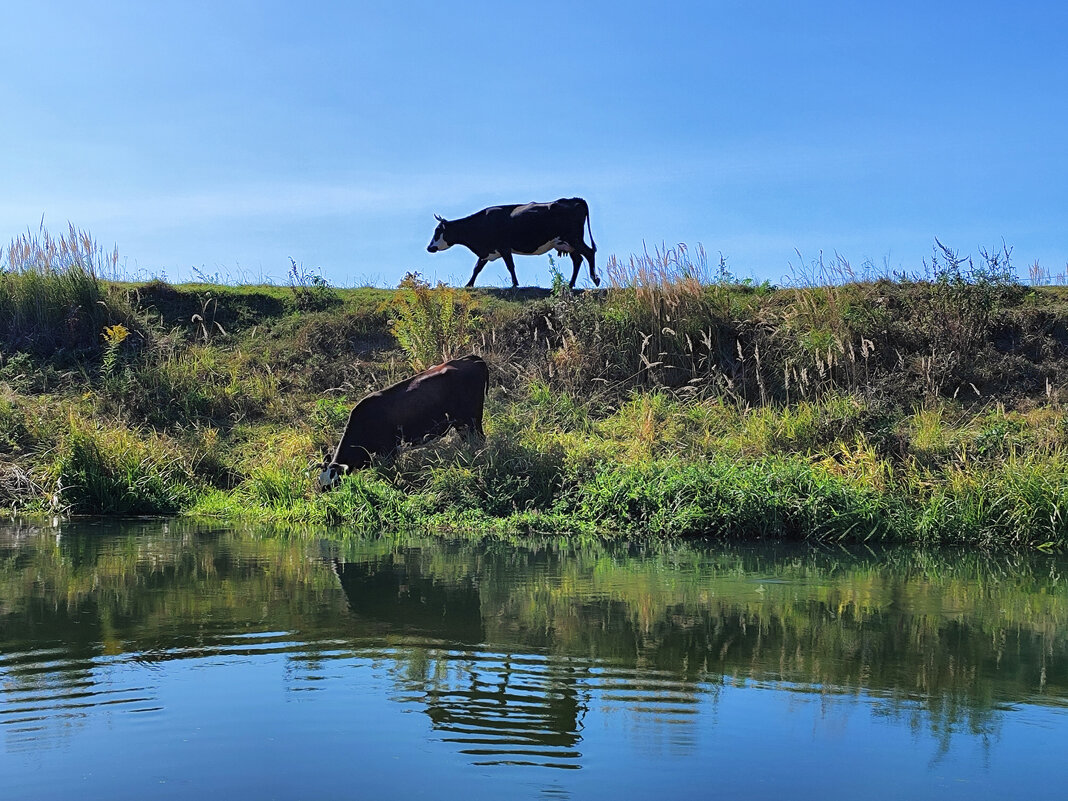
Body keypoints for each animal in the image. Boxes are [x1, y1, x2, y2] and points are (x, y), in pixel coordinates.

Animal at [313, 356, 487, 489]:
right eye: (321, 482)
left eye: (334, 482)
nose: (325, 494)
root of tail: (471, 358)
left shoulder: (389, 451)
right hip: (463, 423)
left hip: (471, 418)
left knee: (478, 440)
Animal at [425, 197, 598, 288]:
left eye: (437, 231)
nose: (429, 247)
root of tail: (574, 199)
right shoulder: (487, 251)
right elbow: (477, 268)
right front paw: (469, 284)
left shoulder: (504, 247)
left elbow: (510, 266)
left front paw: (515, 284)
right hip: (567, 243)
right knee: (578, 260)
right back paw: (570, 284)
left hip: (574, 239)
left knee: (589, 253)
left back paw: (595, 279)